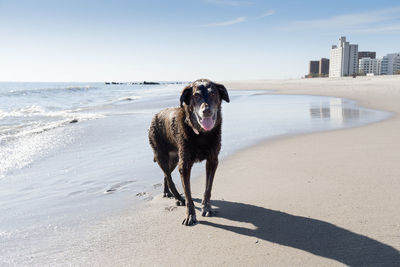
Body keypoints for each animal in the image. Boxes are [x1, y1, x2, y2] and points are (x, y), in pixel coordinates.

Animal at [148, 79, 230, 226]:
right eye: (196, 96)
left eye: (213, 94)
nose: (206, 111)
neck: (202, 134)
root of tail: (155, 115)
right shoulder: (184, 165)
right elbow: (188, 194)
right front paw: (190, 215)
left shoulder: (212, 161)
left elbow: (208, 188)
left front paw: (206, 207)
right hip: (162, 156)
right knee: (169, 177)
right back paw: (178, 198)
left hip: (174, 159)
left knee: (166, 175)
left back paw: (167, 192)